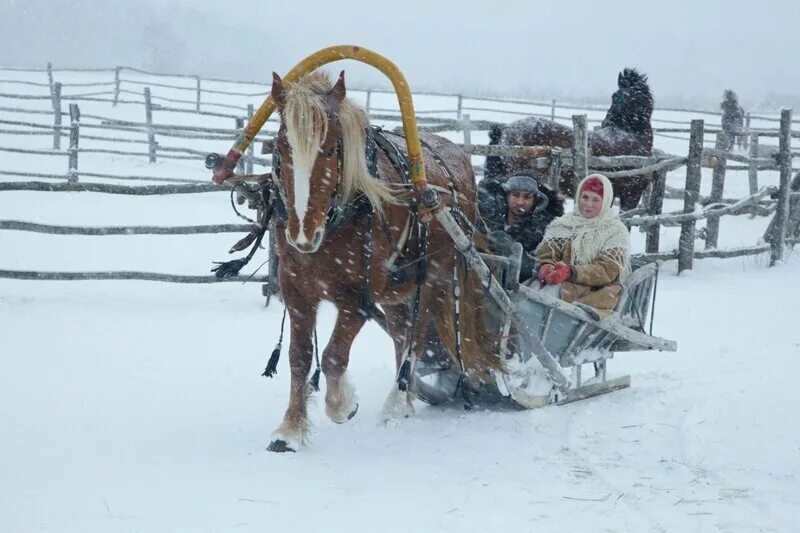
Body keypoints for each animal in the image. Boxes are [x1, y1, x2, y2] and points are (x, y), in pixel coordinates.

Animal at [266, 68, 496, 450]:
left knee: (416, 337)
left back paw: (396, 403)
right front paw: (290, 430)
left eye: (332, 148)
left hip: (432, 279)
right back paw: (405, 399)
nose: (302, 235)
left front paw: (342, 404)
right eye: (282, 147)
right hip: (397, 292)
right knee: (402, 332)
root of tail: (457, 156)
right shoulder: (297, 291)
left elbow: (333, 356)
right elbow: (299, 358)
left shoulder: (356, 298)